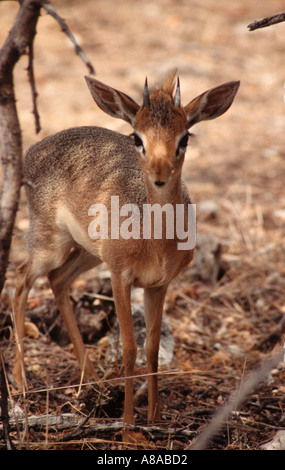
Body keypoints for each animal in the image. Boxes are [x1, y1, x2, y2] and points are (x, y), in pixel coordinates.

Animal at [12, 70, 239, 426]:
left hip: (87, 253)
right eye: (137, 137)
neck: (156, 242)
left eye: (184, 137)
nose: (160, 176)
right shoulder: (121, 276)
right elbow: (130, 348)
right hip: (50, 243)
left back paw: (91, 380)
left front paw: (154, 416)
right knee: (21, 280)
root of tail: (34, 148)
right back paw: (22, 383)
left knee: (58, 280)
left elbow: (152, 349)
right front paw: (129, 423)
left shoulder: (159, 284)